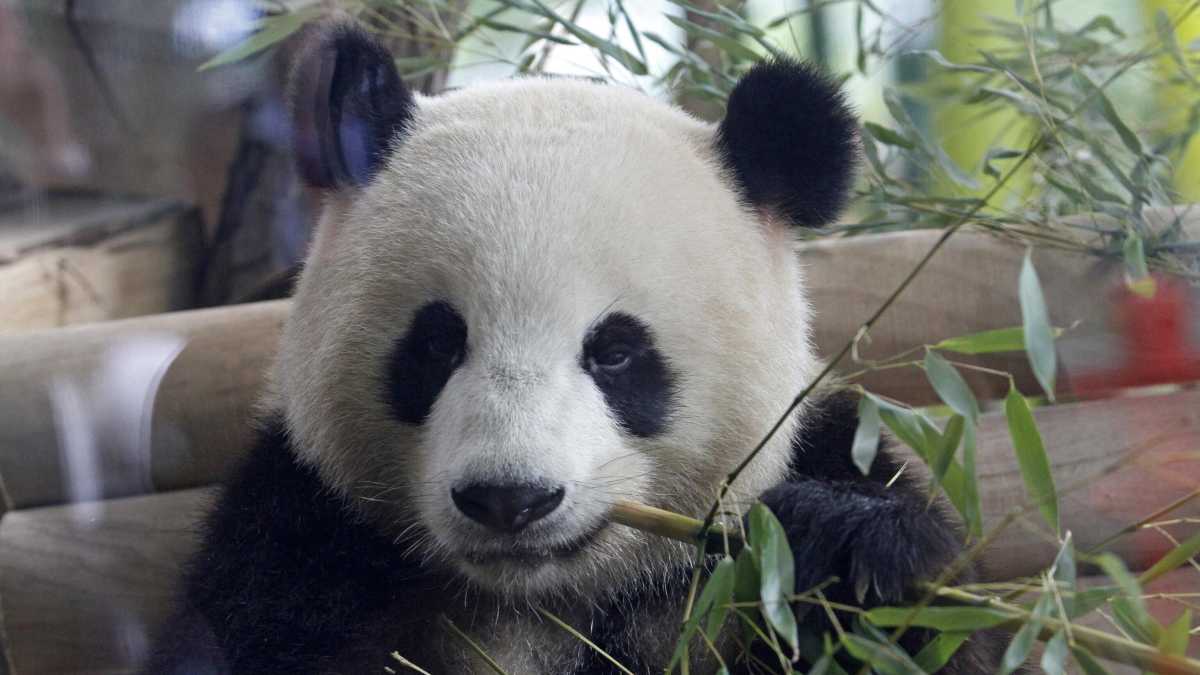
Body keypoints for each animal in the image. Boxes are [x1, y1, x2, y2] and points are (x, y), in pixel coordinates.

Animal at [145, 23, 1007, 675]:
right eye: (436, 343)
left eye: (615, 353)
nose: (509, 498)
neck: (551, 596)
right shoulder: (296, 532)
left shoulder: (803, 469)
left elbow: (927, 617)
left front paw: (841, 545)